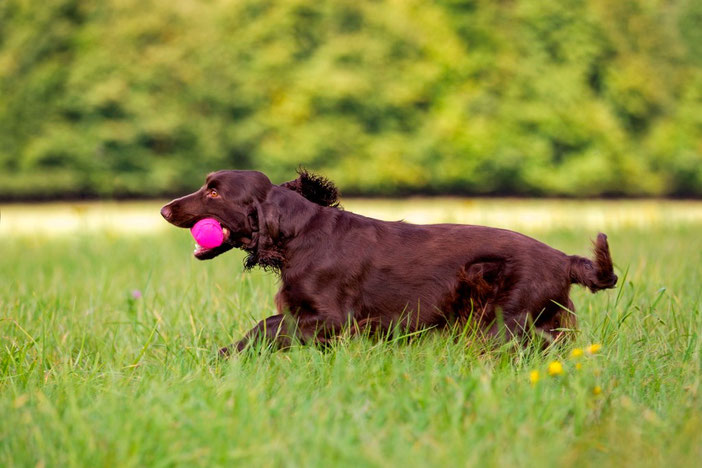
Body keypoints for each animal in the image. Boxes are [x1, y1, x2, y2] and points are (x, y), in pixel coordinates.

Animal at [162, 170, 620, 352]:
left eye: (214, 191)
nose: (165, 210)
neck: (300, 234)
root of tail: (565, 259)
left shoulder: (331, 317)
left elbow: (265, 328)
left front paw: (225, 356)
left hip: (505, 321)